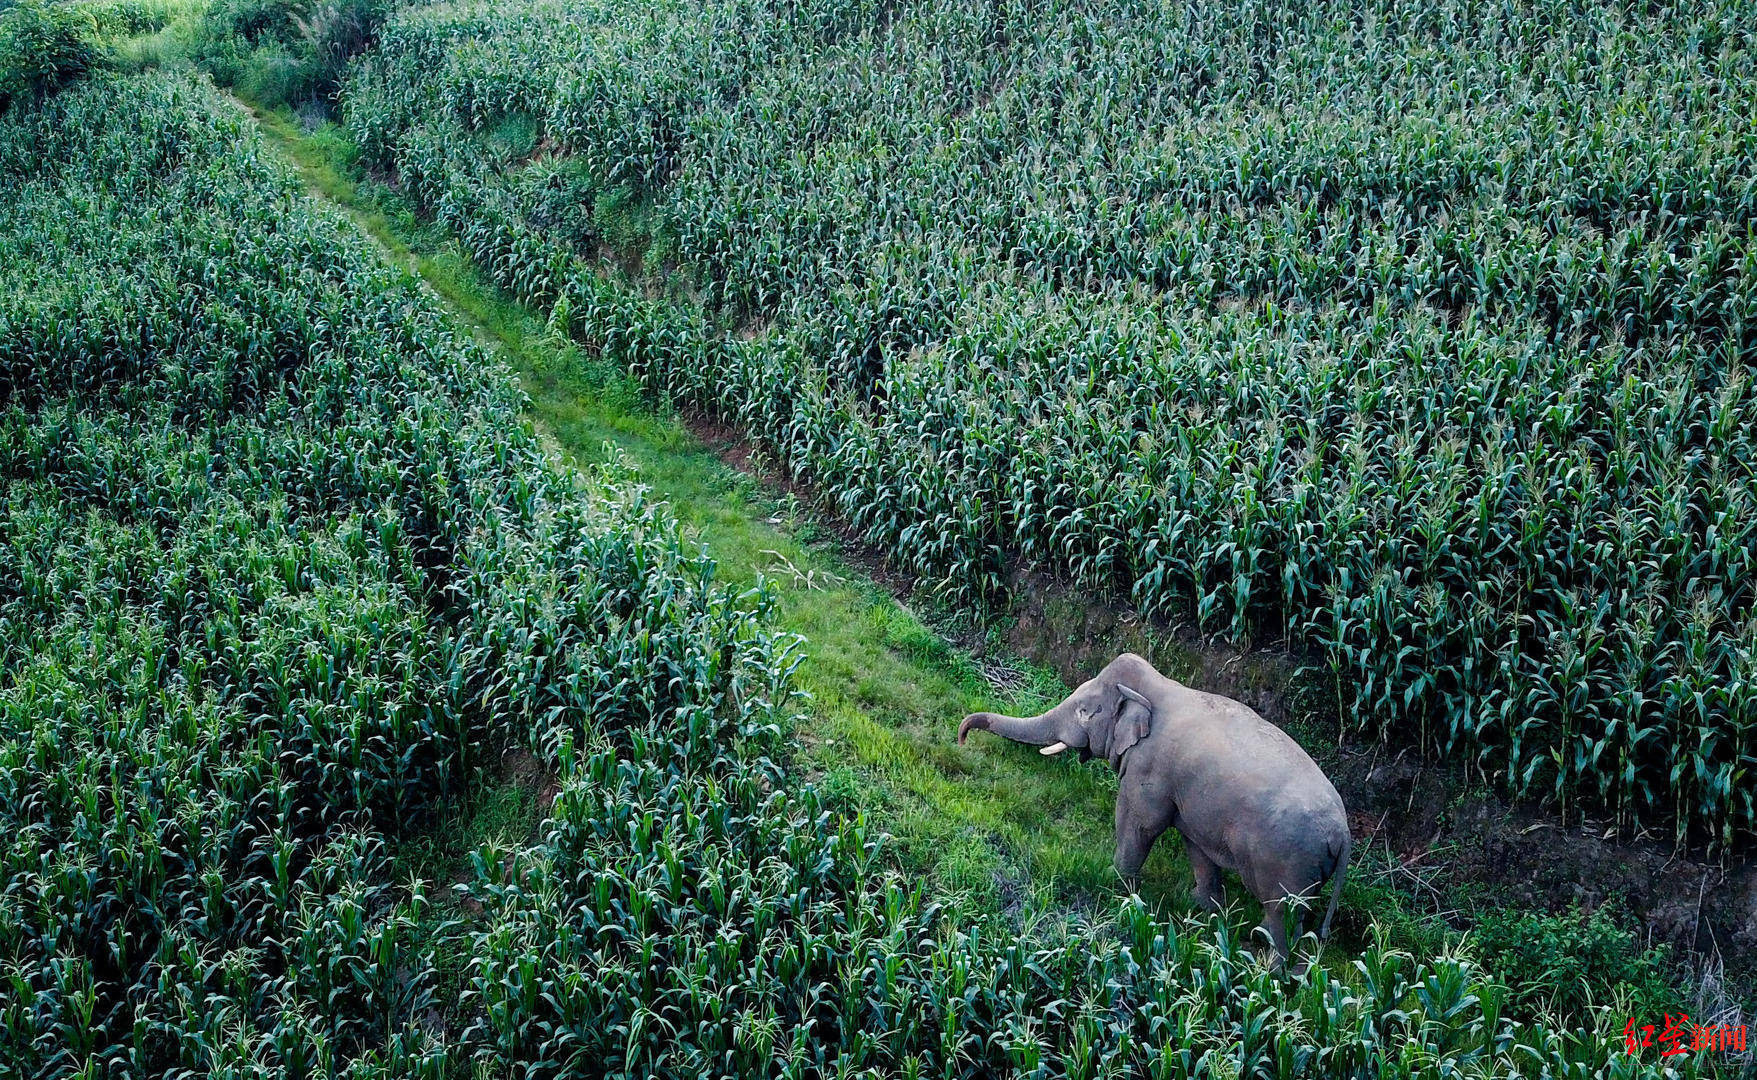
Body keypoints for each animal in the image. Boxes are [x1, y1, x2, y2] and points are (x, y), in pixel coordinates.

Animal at [955, 653, 1349, 969]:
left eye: (1084, 711)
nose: (961, 737)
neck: (1157, 687)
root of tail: (1343, 834)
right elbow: (1195, 845)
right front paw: (1201, 911)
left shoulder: (1149, 768)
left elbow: (1140, 822)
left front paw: (1118, 886)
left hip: (1289, 862)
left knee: (1282, 916)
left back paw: (1267, 970)